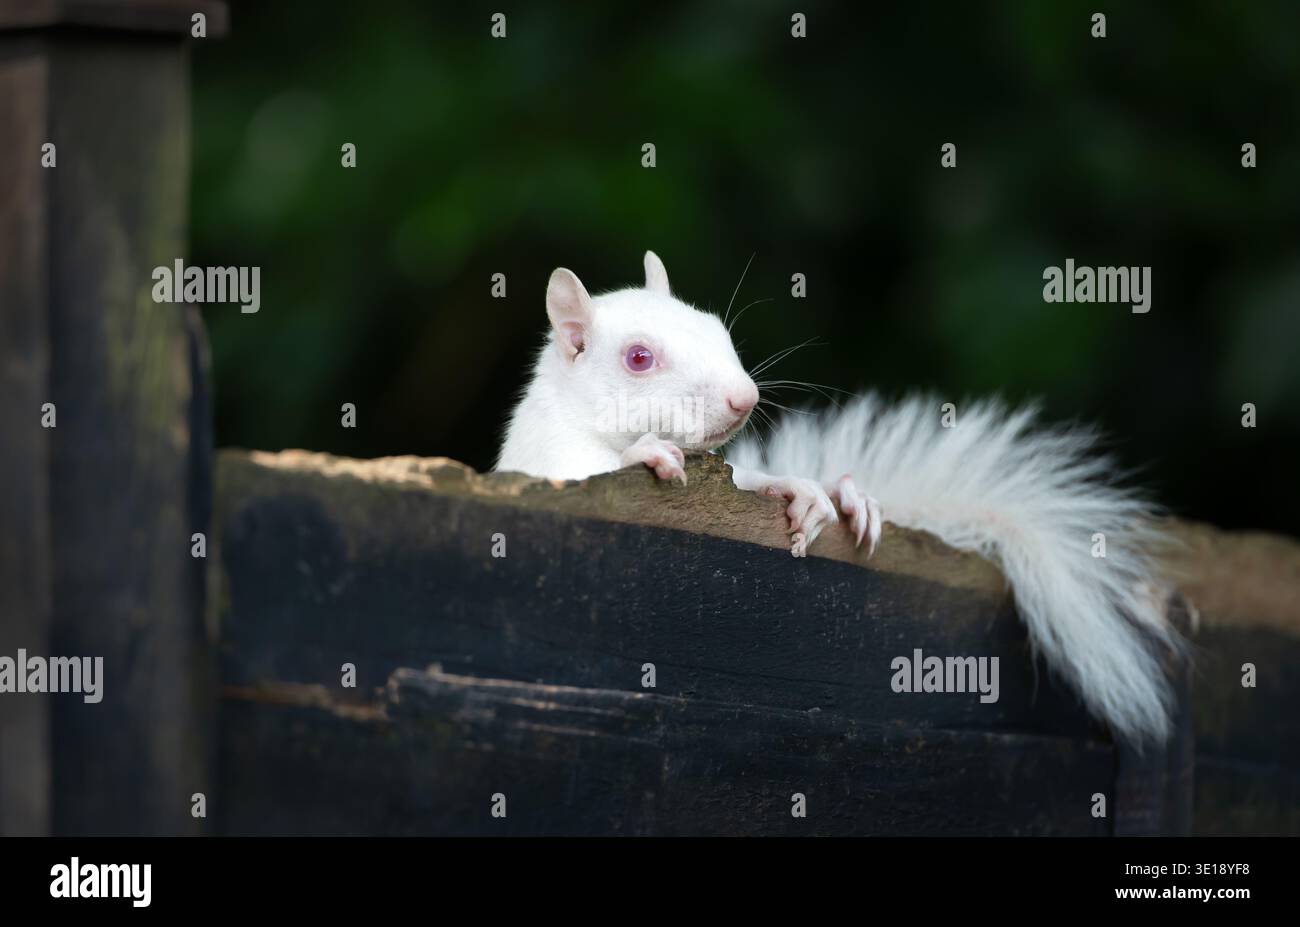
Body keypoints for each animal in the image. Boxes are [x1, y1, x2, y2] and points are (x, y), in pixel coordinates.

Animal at [497, 251, 1178, 746]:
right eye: (638, 358)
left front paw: (811, 491)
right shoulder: (546, 465)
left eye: (717, 328)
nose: (745, 398)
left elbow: (746, 484)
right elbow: (587, 475)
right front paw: (646, 452)